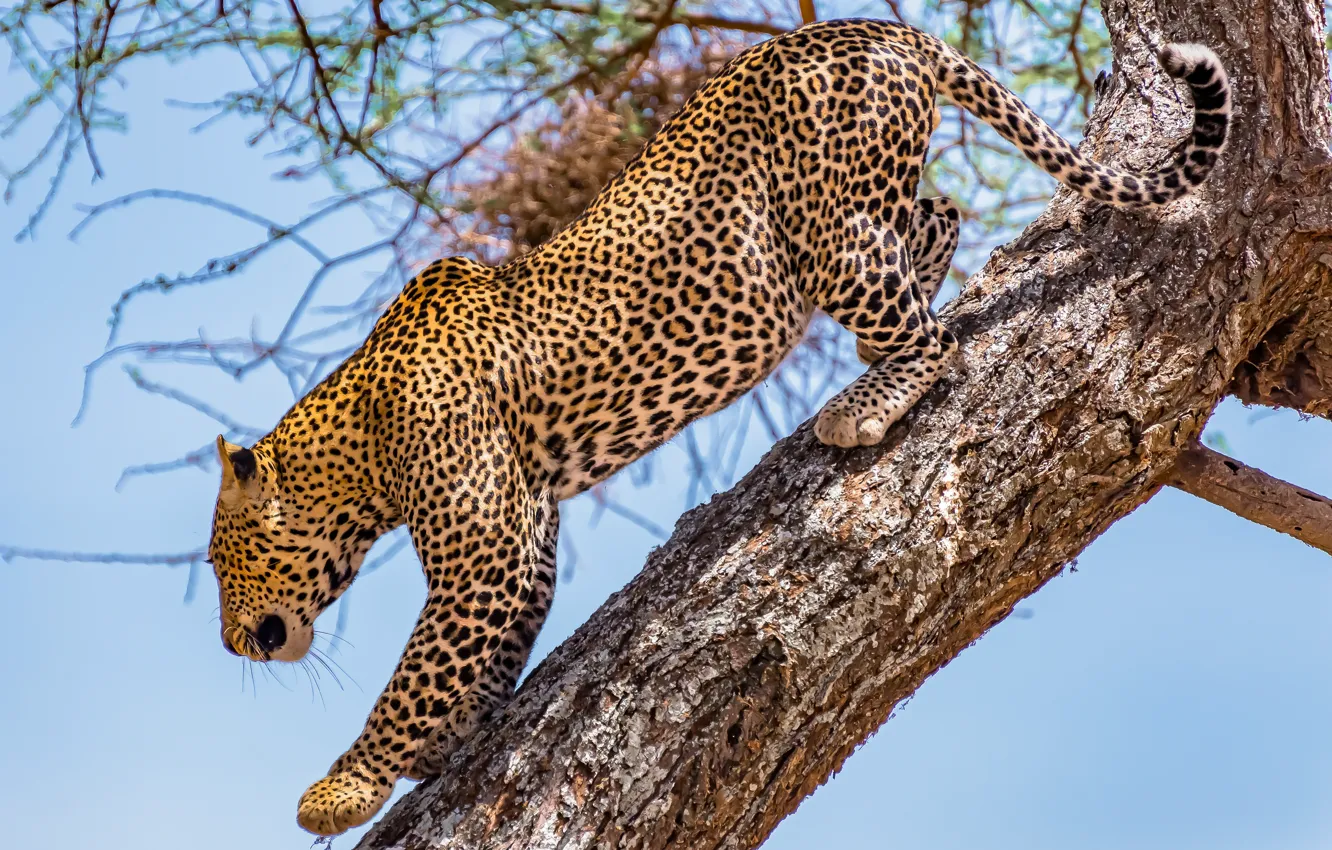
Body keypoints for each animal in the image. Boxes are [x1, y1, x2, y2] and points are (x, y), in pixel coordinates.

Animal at [205, 18, 1230, 836]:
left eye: (220, 564)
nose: (226, 645)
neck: (359, 447)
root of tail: (875, 26)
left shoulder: (485, 542)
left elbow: (416, 672)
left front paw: (344, 787)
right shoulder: (525, 530)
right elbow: (494, 645)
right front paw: (458, 732)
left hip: (829, 231)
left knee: (931, 330)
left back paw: (864, 403)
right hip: (863, 210)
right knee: (939, 214)